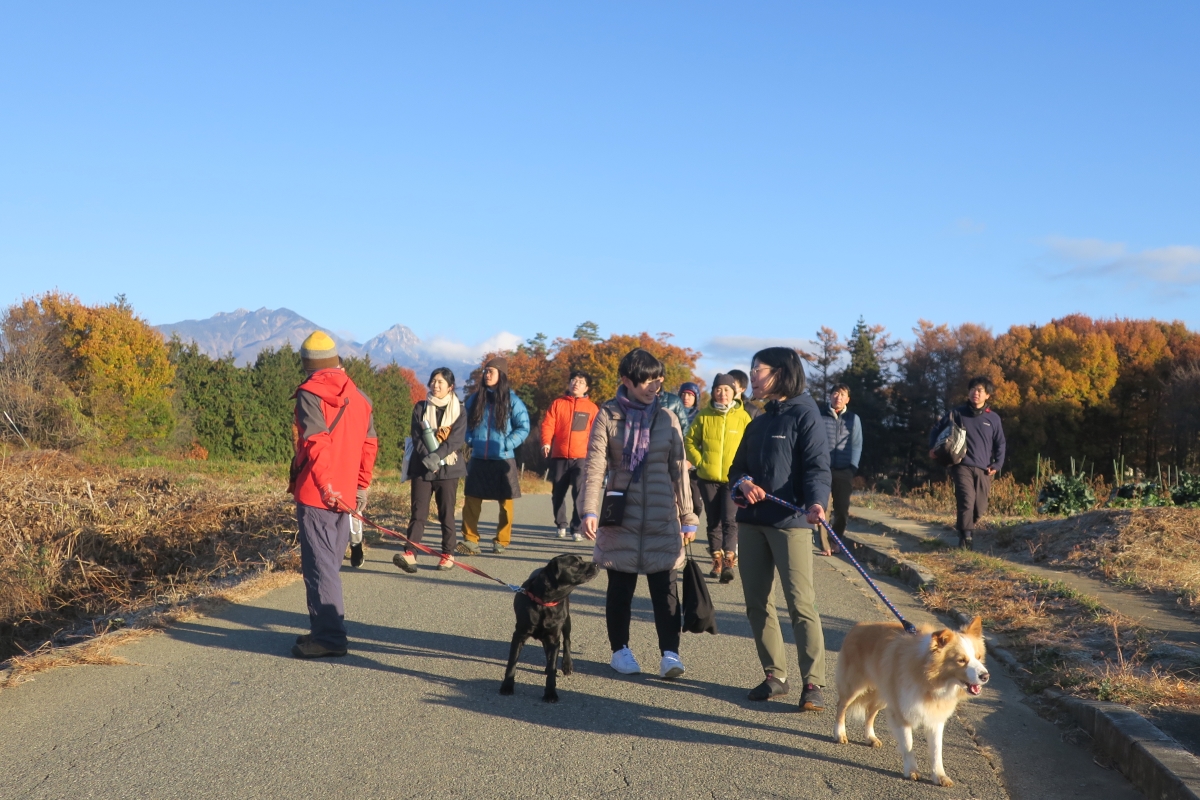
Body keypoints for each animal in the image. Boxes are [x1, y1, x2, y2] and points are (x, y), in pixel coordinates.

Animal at [499, 554, 600, 705]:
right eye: (576, 563)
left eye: (581, 559)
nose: (597, 564)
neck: (544, 603)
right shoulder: (519, 635)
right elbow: (512, 662)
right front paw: (507, 686)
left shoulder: (554, 637)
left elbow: (553, 665)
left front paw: (551, 693)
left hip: (566, 621)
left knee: (566, 642)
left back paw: (566, 665)